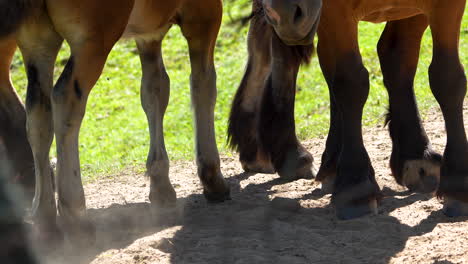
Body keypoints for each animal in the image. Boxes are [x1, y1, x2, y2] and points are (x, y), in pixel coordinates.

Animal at [0, 0, 230, 243]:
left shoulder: (149, 34)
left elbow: (155, 90)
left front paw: (161, 188)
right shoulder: (203, 15)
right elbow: (203, 84)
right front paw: (212, 176)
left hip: (37, 43)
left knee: (37, 117)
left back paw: (44, 217)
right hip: (91, 42)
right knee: (65, 100)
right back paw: (75, 215)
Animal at [230, 0, 468, 220]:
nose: (282, 12)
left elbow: (446, 77)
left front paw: (456, 182)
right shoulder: (333, 12)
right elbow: (350, 83)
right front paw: (356, 186)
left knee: (392, 54)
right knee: (287, 56)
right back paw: (293, 154)